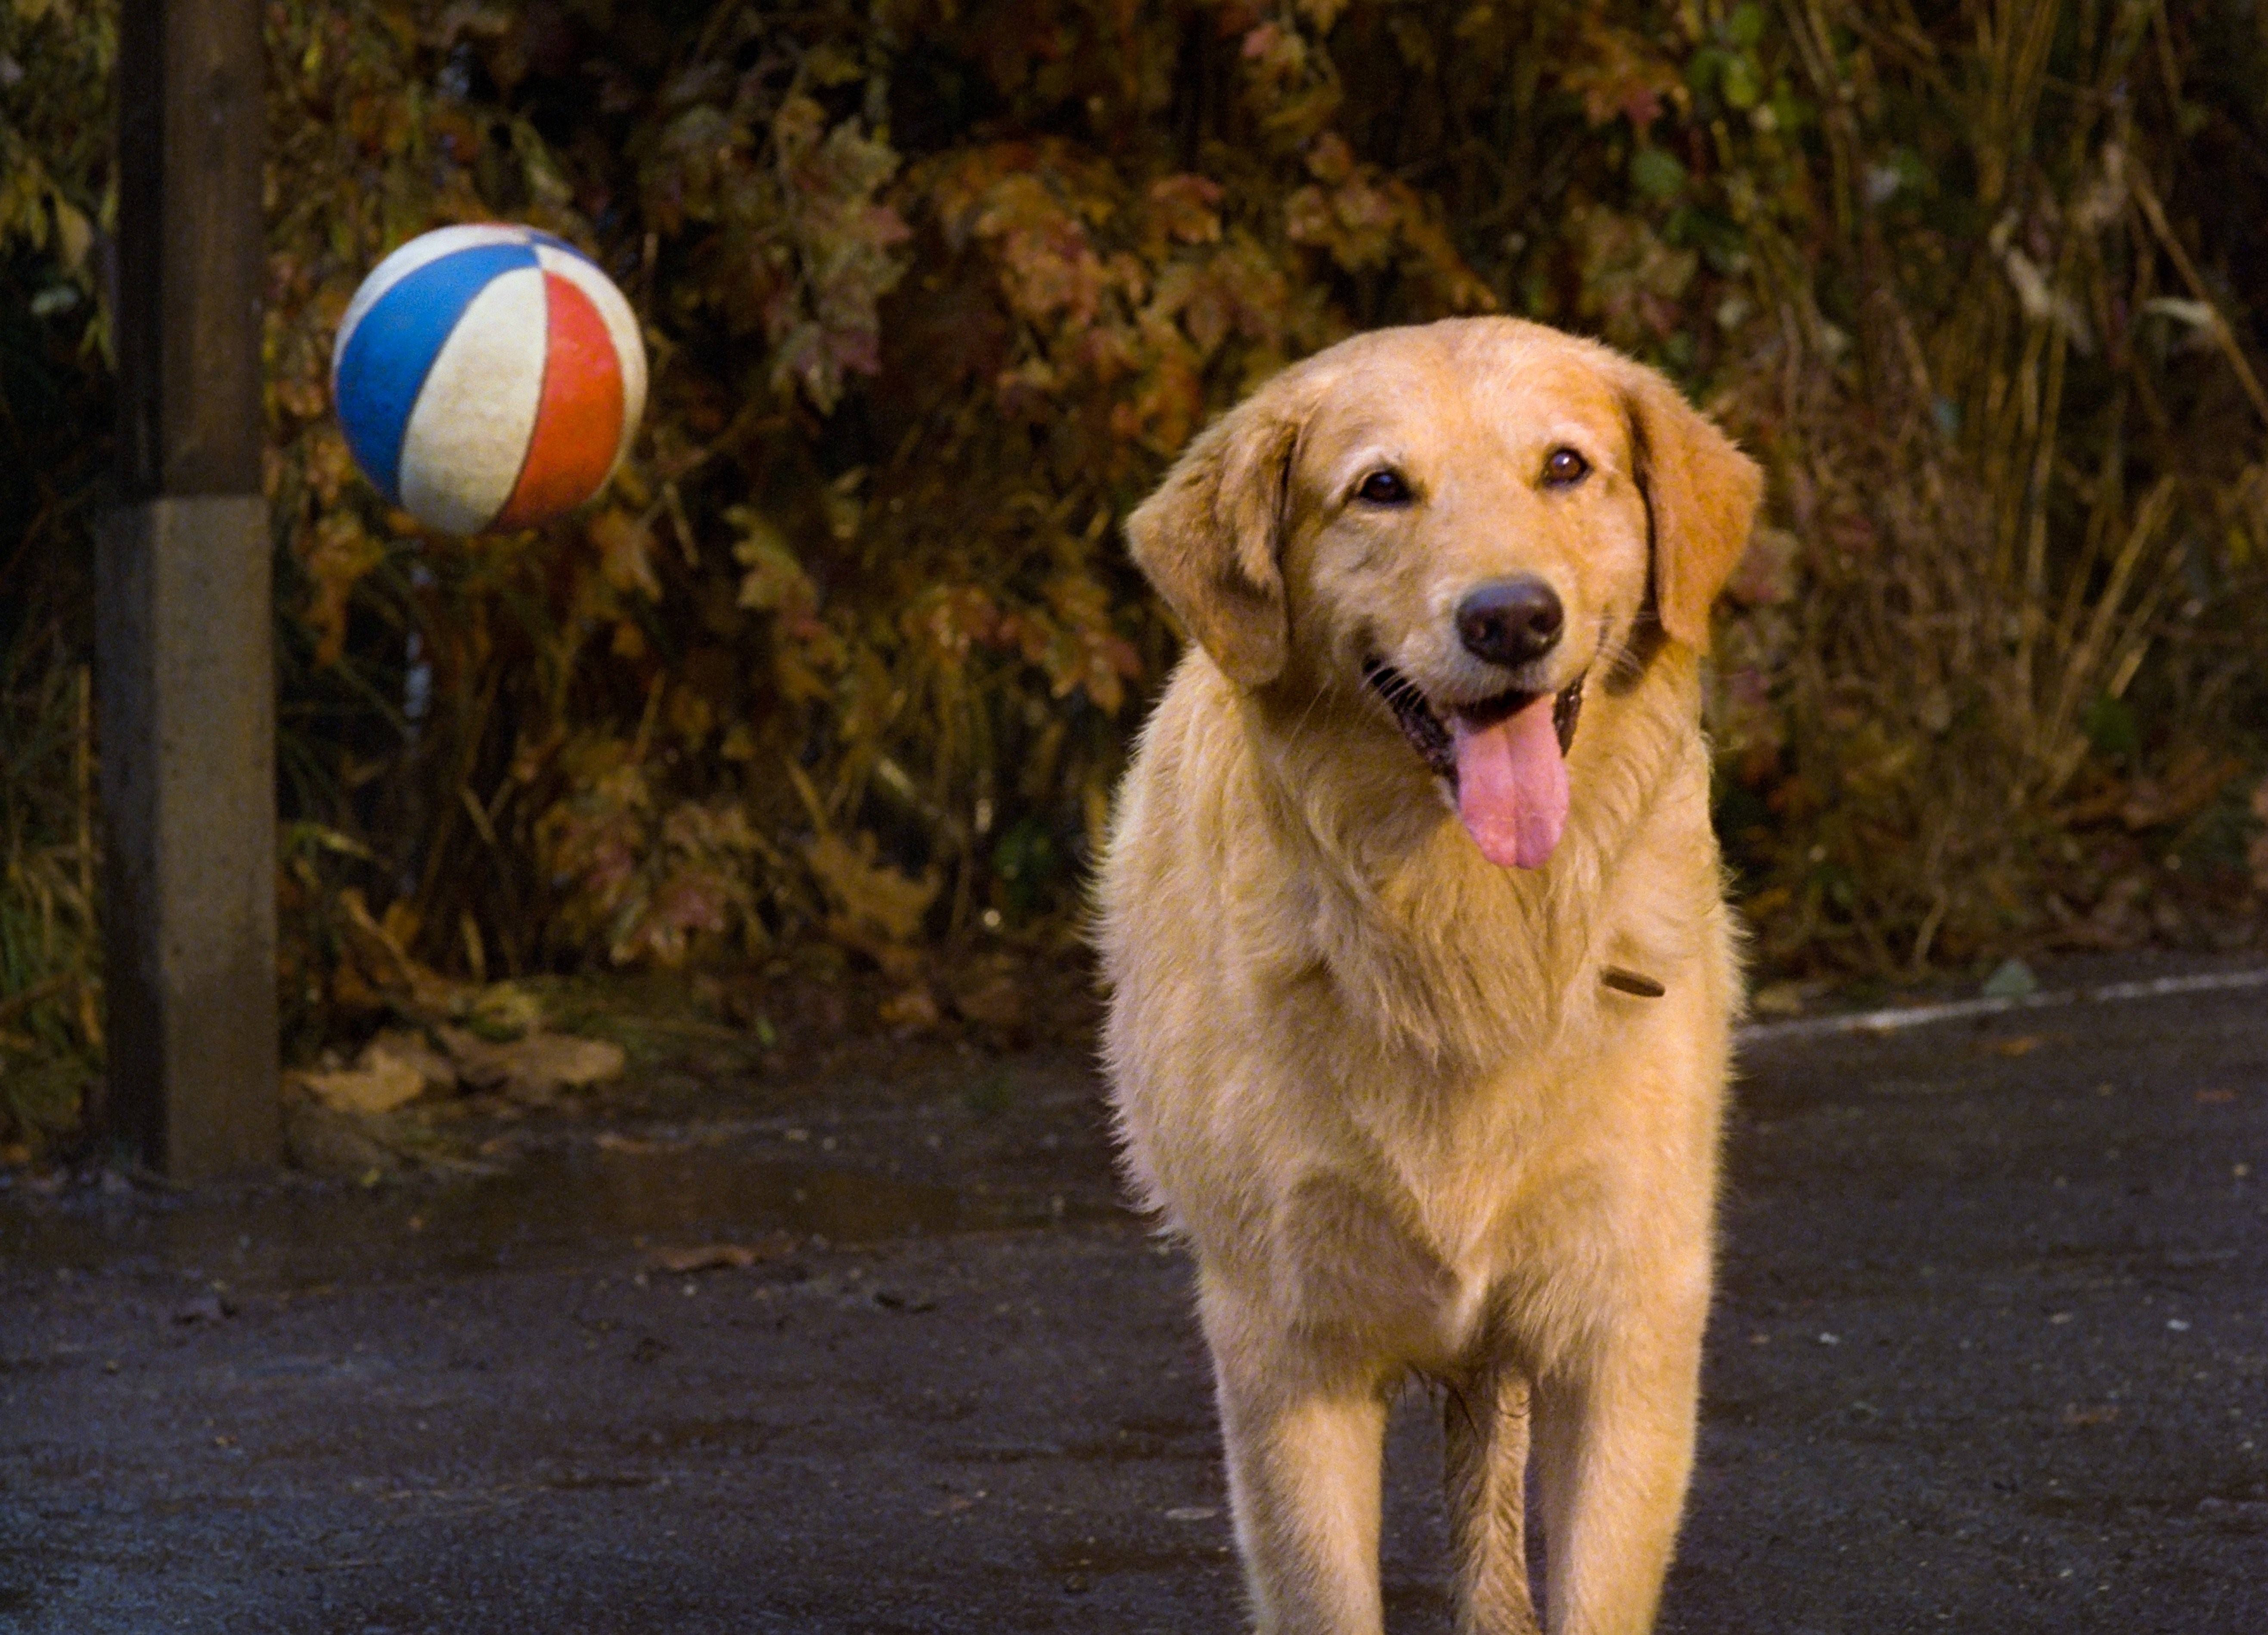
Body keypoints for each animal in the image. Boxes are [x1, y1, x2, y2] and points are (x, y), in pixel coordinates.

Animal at [1089, 319, 1760, 1632]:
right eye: (1380, 487)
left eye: (1566, 466)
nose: (1510, 619)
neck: (1469, 931)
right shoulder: (1287, 1348)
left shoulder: (1623, 1331)